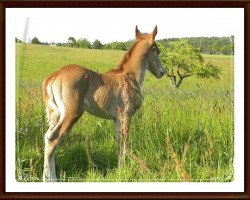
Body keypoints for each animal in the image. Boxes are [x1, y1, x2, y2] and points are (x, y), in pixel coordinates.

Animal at [43, 25, 166, 181]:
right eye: (157, 51)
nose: (163, 71)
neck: (130, 76)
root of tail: (54, 76)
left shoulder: (117, 119)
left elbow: (118, 141)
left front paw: (119, 169)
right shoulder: (126, 115)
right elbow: (123, 141)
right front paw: (122, 170)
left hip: (56, 115)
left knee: (47, 137)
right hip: (72, 114)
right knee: (53, 139)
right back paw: (52, 178)